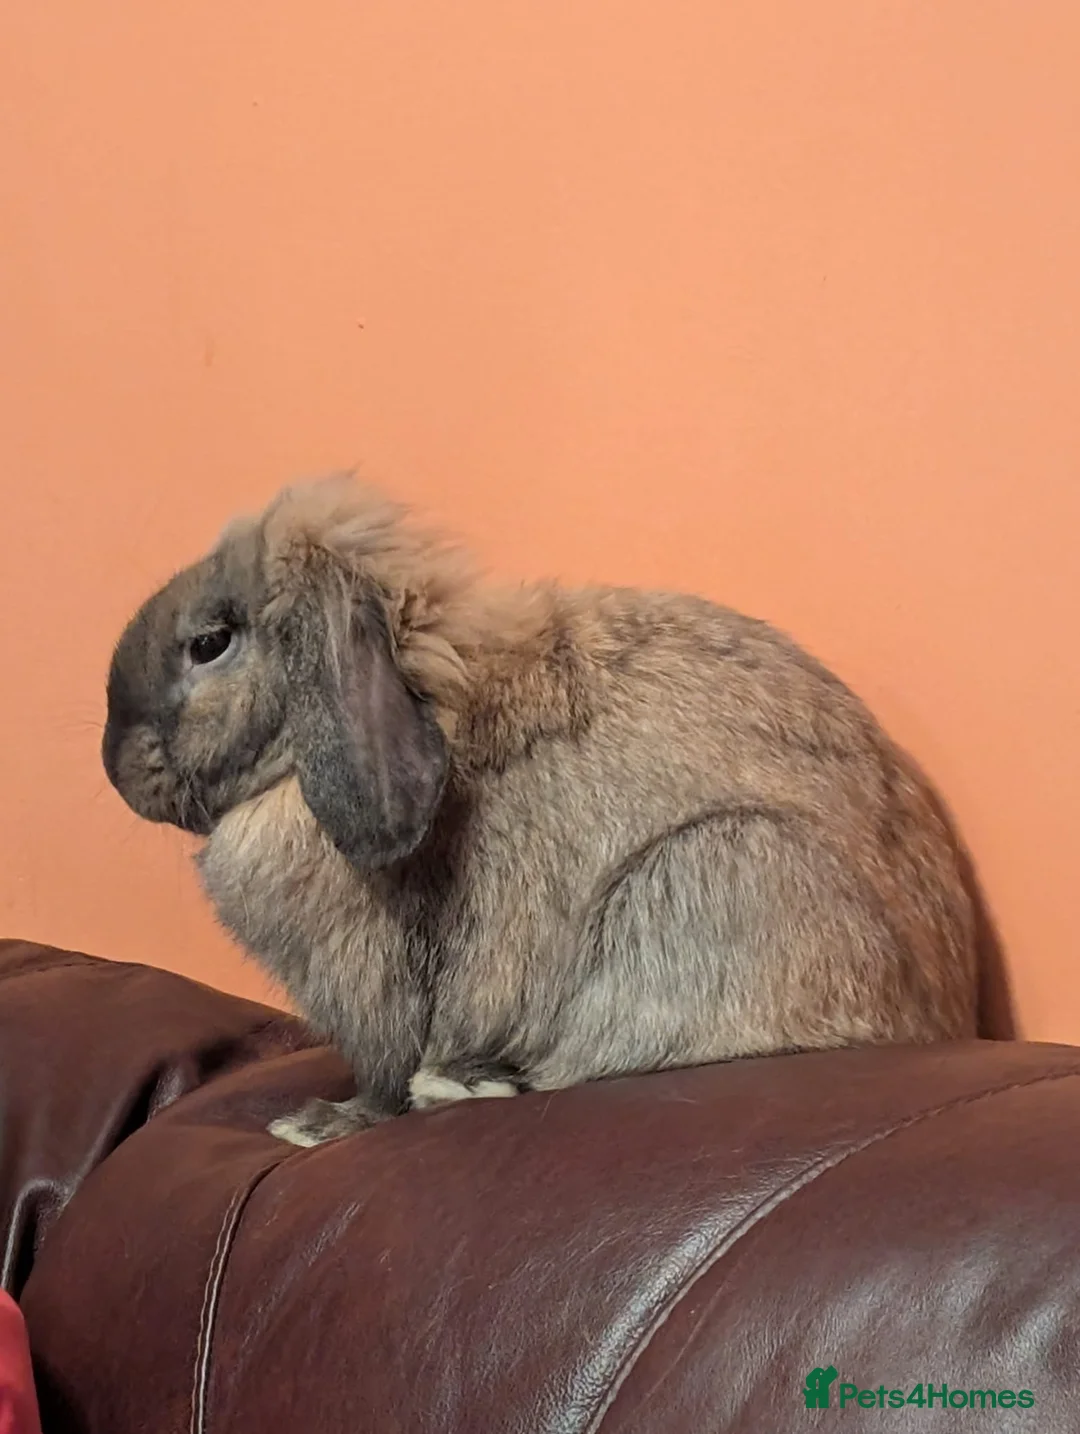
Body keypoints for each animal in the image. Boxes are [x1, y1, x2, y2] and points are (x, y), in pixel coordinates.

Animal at [102, 476, 978, 1146]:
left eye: (209, 643)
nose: (115, 766)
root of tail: (943, 1016)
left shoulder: (378, 990)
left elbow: (381, 1078)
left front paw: (319, 1124)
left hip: (705, 878)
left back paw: (459, 1087)